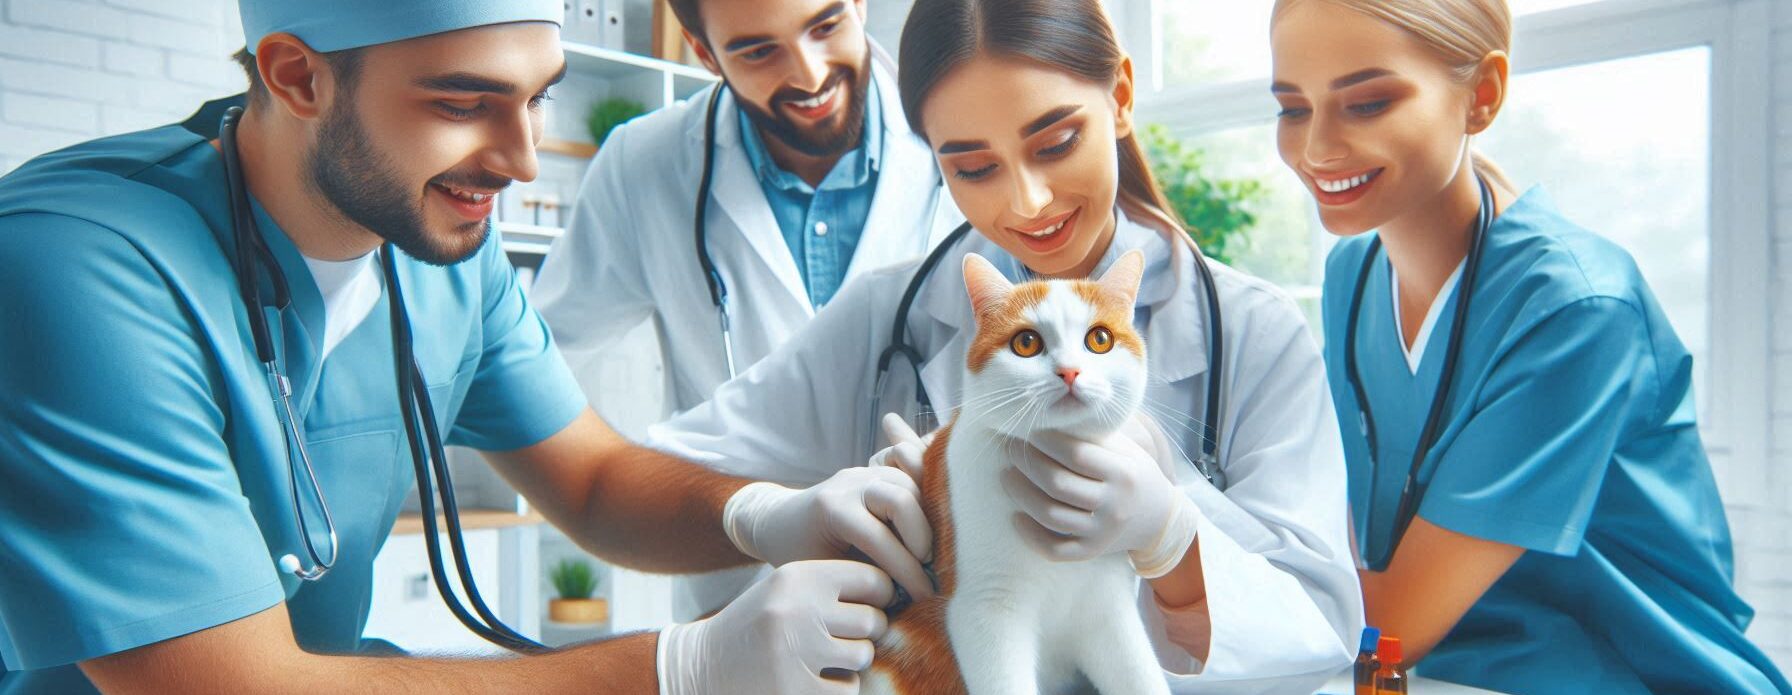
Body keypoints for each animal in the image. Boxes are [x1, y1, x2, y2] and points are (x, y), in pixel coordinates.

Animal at [867, 248, 1175, 695]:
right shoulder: (987, 608)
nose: (1069, 371)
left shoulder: (1109, 610)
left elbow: (1138, 673)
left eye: (1099, 340)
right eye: (1026, 343)